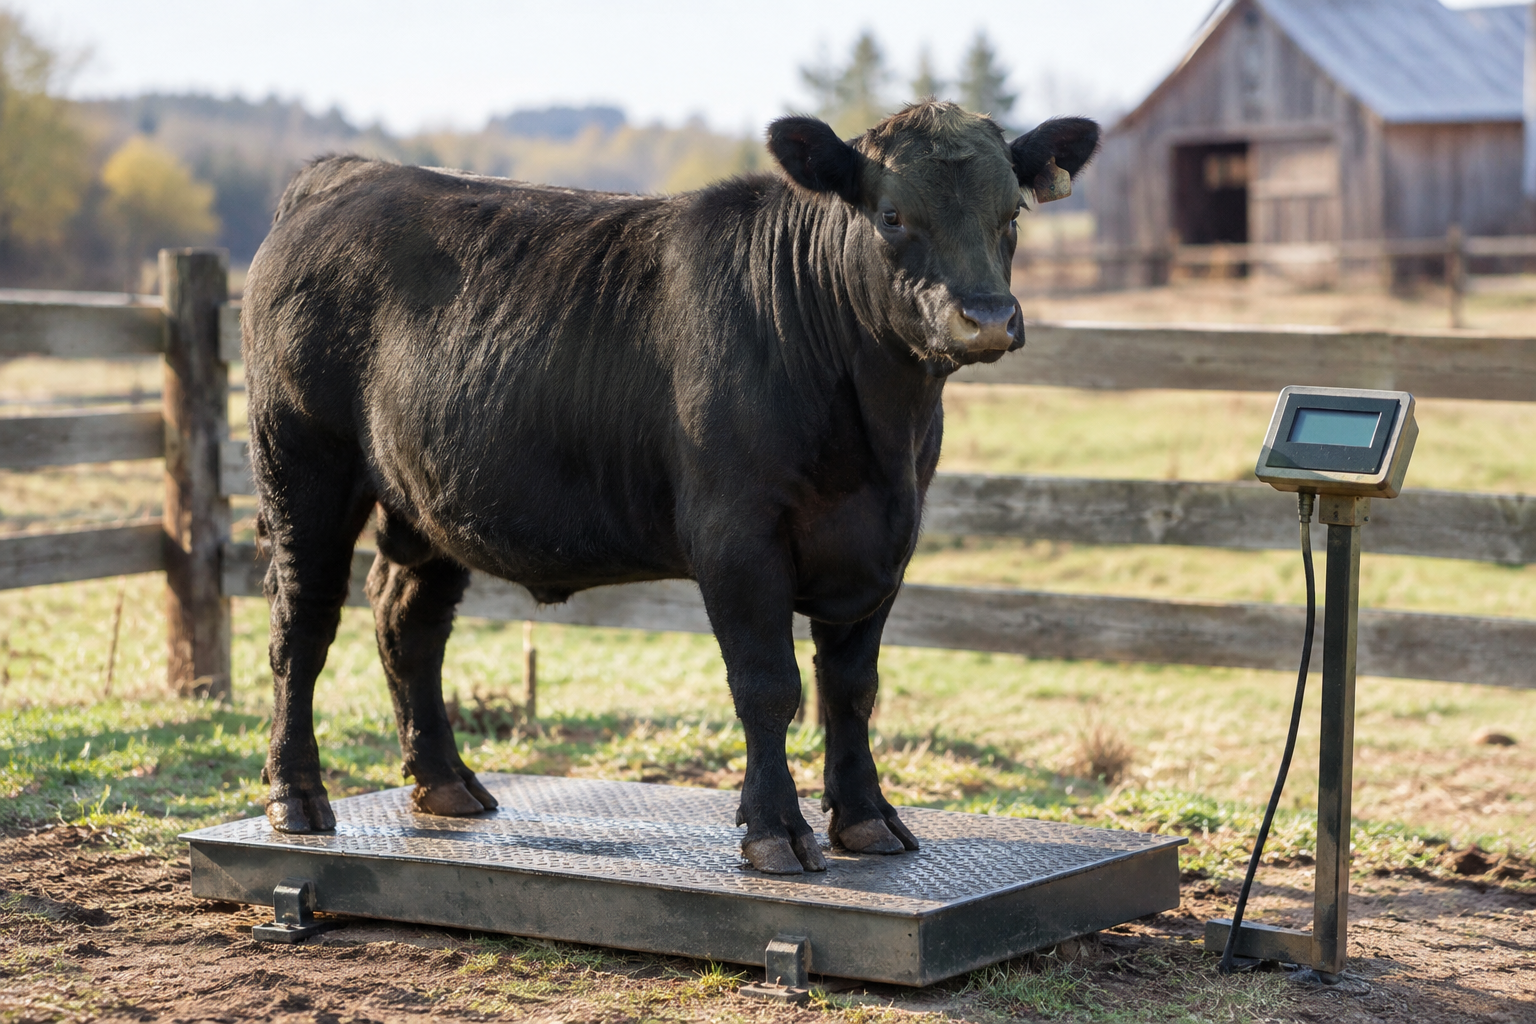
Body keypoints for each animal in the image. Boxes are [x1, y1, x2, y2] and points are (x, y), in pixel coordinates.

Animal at [245, 101, 1099, 874]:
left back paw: (447, 783)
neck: (876, 431)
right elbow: (769, 686)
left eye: (1011, 211)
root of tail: (350, 174)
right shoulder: (736, 536)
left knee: (406, 621)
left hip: (425, 499)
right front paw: (776, 831)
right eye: (892, 214)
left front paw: (867, 819)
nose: (987, 316)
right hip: (303, 467)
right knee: (302, 624)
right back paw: (297, 797)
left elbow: (853, 687)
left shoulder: (884, 541)